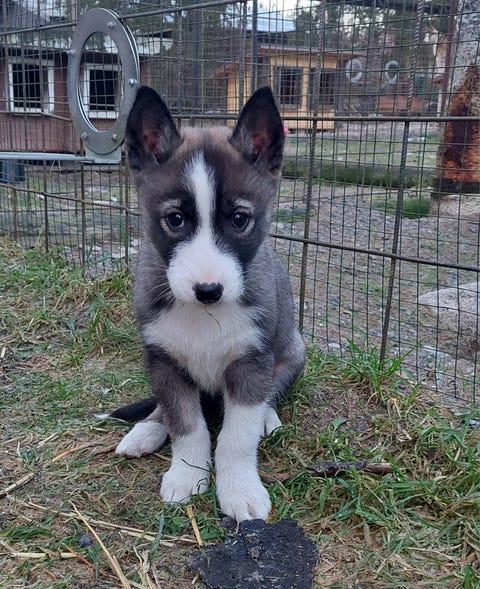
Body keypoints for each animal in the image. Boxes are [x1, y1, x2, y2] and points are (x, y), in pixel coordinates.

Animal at [110, 85, 305, 522]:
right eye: (175, 219)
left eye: (239, 219)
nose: (208, 289)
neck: (204, 315)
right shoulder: (162, 361)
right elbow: (185, 424)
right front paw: (186, 474)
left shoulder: (251, 362)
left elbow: (237, 436)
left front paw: (239, 489)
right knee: (164, 410)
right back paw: (145, 430)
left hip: (294, 351)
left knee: (271, 392)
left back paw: (268, 416)